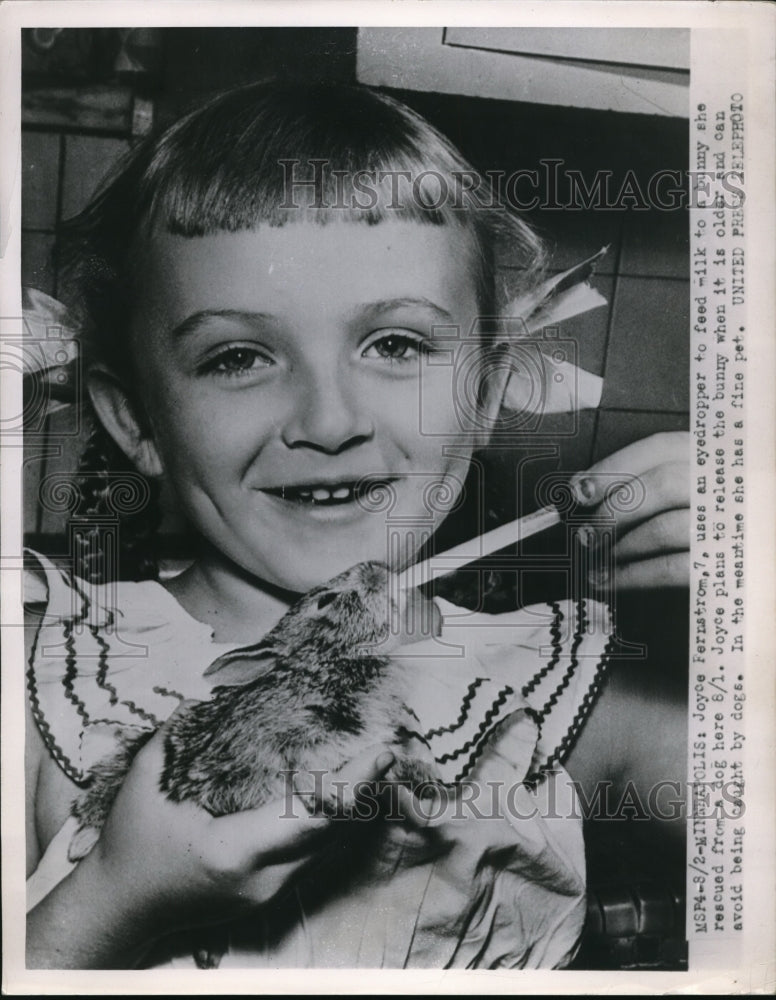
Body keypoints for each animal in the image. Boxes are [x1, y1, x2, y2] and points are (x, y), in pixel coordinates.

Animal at [68, 560, 442, 864]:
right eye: (325, 601)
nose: (378, 569)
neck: (324, 665)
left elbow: (393, 759)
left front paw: (427, 778)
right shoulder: (260, 743)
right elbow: (295, 759)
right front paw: (327, 794)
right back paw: (80, 845)